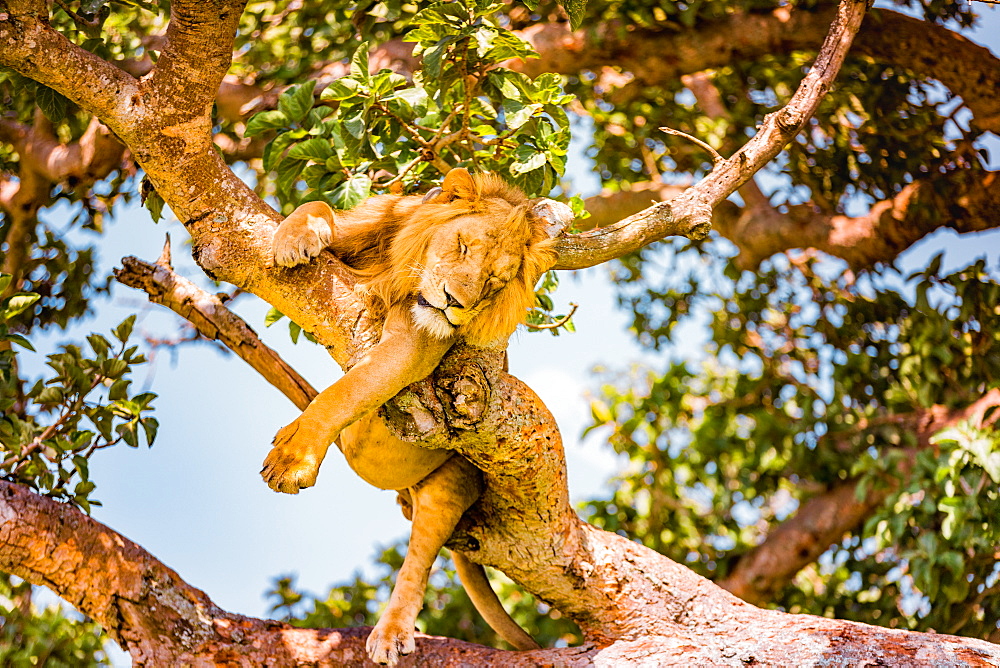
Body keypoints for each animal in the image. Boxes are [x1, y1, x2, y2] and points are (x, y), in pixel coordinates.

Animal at [260, 170, 572, 664]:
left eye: (495, 280)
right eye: (463, 245)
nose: (454, 302)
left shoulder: (420, 340)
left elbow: (350, 391)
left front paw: (294, 459)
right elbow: (318, 207)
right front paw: (295, 237)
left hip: (451, 485)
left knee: (419, 561)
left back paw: (391, 633)